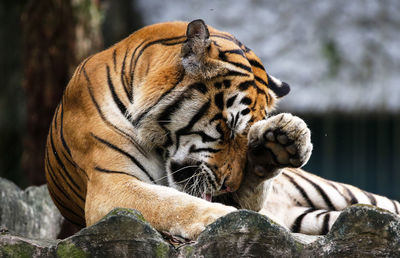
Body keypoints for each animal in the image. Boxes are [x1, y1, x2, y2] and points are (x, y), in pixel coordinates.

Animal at [44, 19, 400, 239]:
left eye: (245, 135)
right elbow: (174, 203)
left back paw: (280, 145)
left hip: (345, 195)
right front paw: (224, 217)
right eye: (227, 129)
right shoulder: (111, 184)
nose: (229, 185)